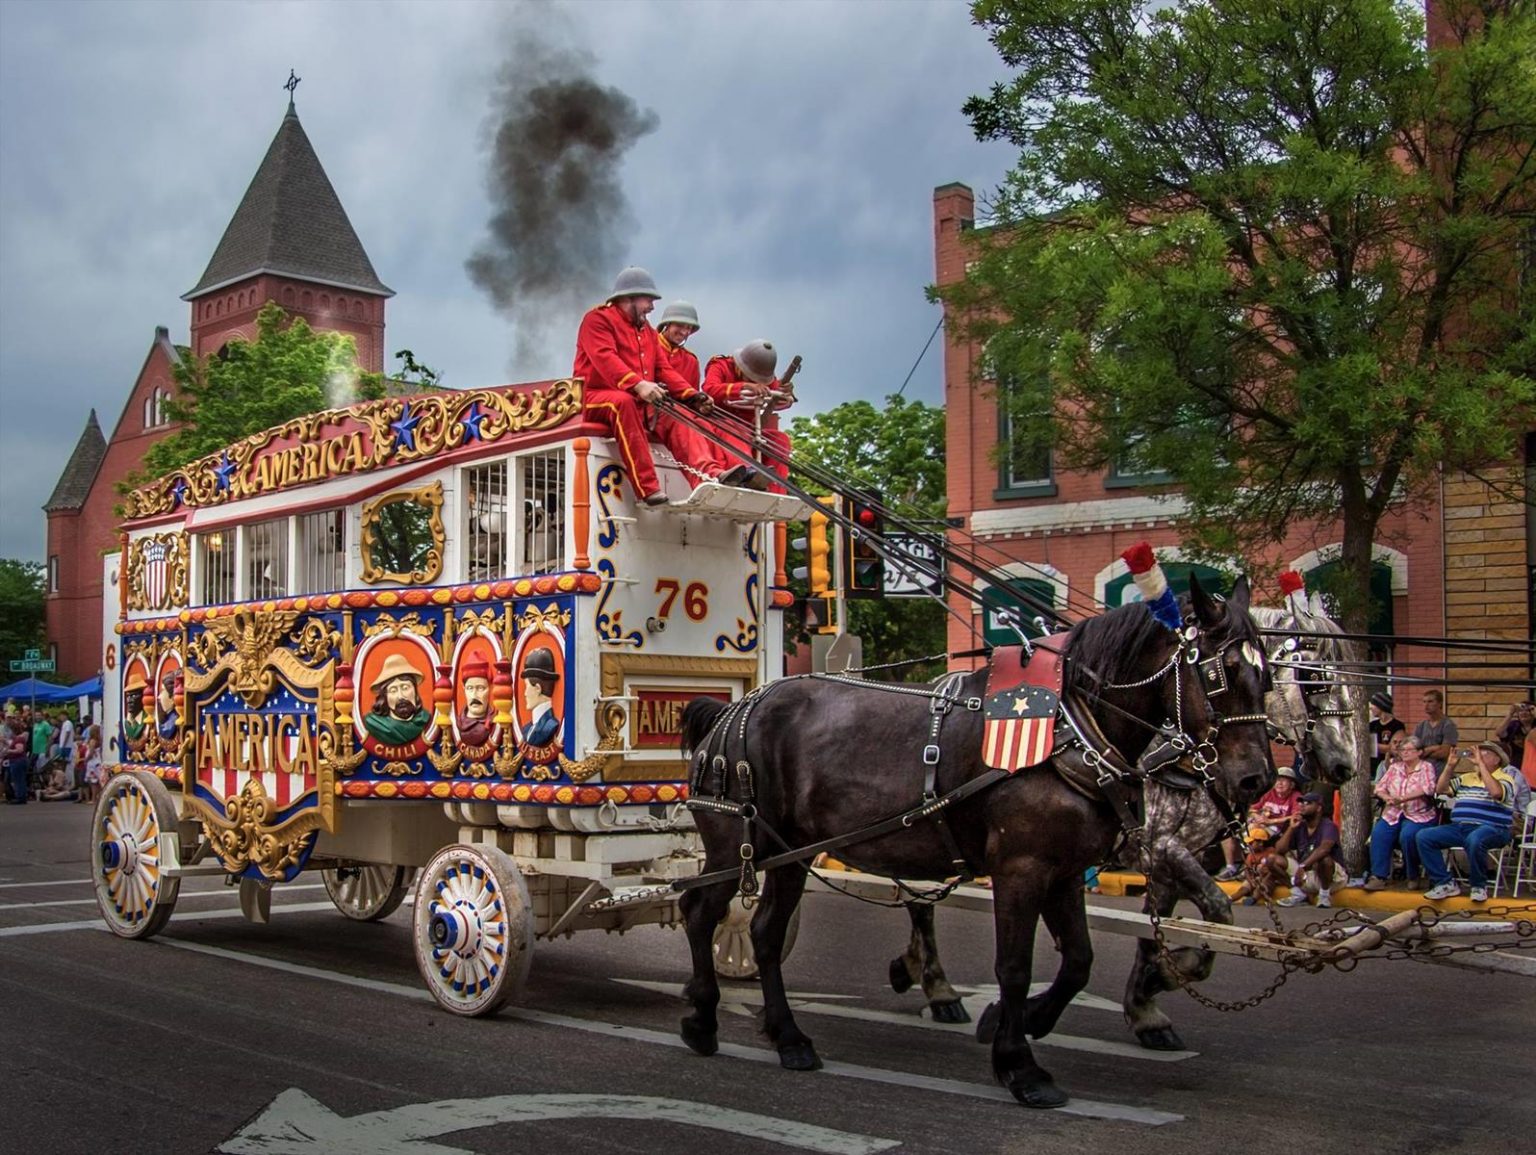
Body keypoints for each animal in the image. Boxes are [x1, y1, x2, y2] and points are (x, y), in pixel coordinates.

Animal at [675, 577, 1271, 1111]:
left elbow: (1079, 961)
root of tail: (728, 711)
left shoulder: (1065, 871)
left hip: (790, 853)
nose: (1255, 779)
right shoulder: (1022, 868)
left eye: (1268, 675)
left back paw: (789, 1038)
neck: (1069, 732)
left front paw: (1026, 1020)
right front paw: (1020, 1065)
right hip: (736, 844)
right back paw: (703, 1018)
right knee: (700, 911)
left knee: (764, 932)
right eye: (1219, 673)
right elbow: (1014, 967)